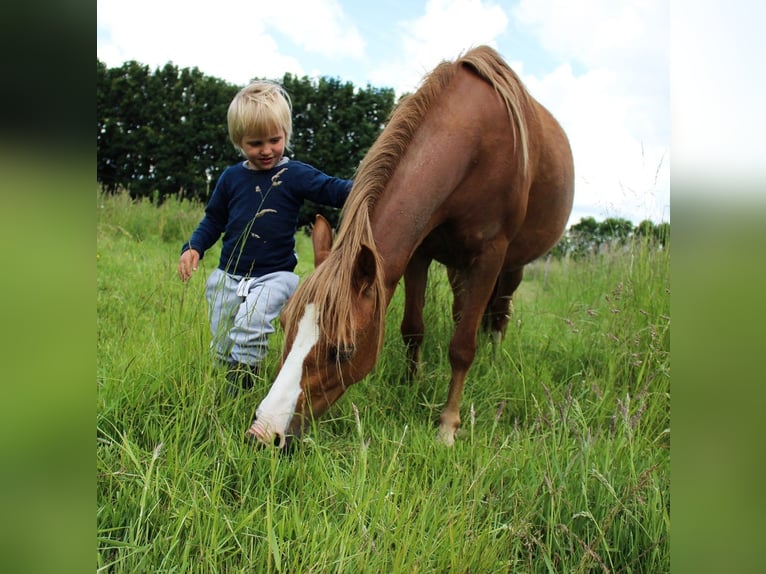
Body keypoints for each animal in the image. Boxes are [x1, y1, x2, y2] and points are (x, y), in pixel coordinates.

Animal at [248, 46, 576, 450]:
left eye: (343, 351)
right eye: (284, 324)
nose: (263, 434)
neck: (475, 143)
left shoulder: (489, 256)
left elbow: (462, 346)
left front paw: (448, 425)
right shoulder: (419, 254)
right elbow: (413, 329)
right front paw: (410, 387)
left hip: (512, 267)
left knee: (499, 315)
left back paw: (494, 359)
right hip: (456, 266)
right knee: (462, 309)